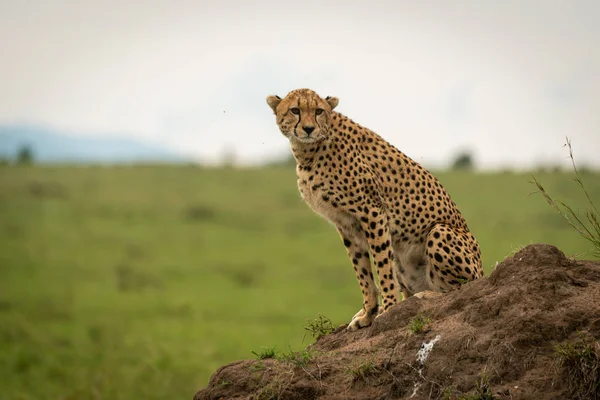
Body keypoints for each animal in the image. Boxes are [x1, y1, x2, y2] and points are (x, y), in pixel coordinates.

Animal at [266, 88, 482, 332]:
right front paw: (368, 313)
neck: (309, 151)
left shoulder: (372, 211)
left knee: (459, 289)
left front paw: (388, 310)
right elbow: (362, 272)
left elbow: (381, 265)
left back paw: (423, 297)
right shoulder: (346, 223)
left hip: (440, 232)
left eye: (319, 111)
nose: (309, 128)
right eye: (295, 110)